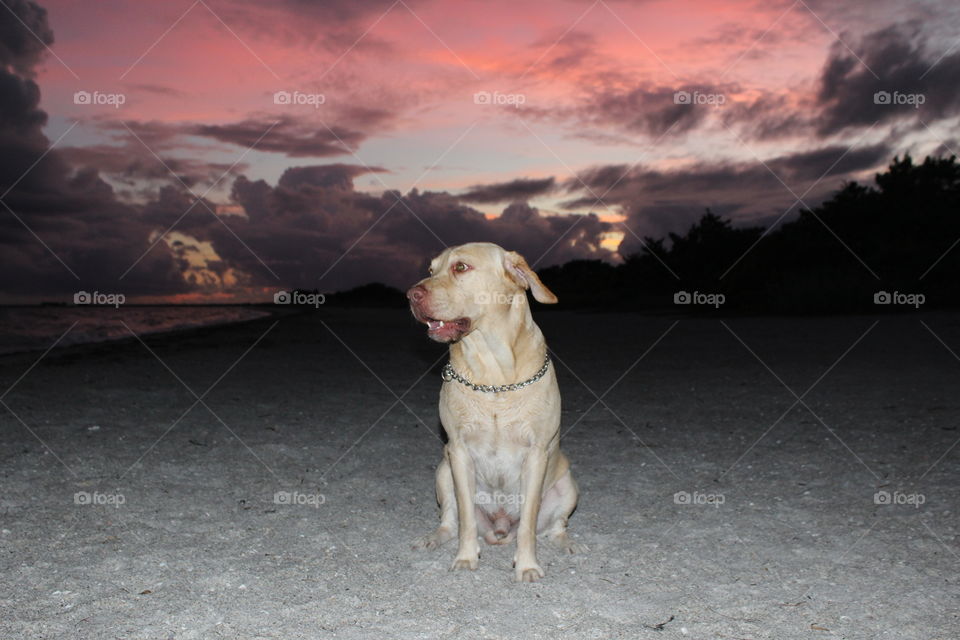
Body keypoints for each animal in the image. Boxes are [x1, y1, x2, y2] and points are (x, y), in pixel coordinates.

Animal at [404, 242, 576, 584]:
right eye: (431, 270)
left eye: (461, 267)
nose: (410, 295)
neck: (493, 377)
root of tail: (500, 526)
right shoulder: (457, 452)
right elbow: (466, 519)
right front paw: (465, 558)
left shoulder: (537, 454)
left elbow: (528, 527)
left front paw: (527, 565)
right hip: (443, 472)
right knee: (449, 522)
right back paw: (432, 538)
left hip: (568, 486)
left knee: (554, 526)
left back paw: (566, 543)